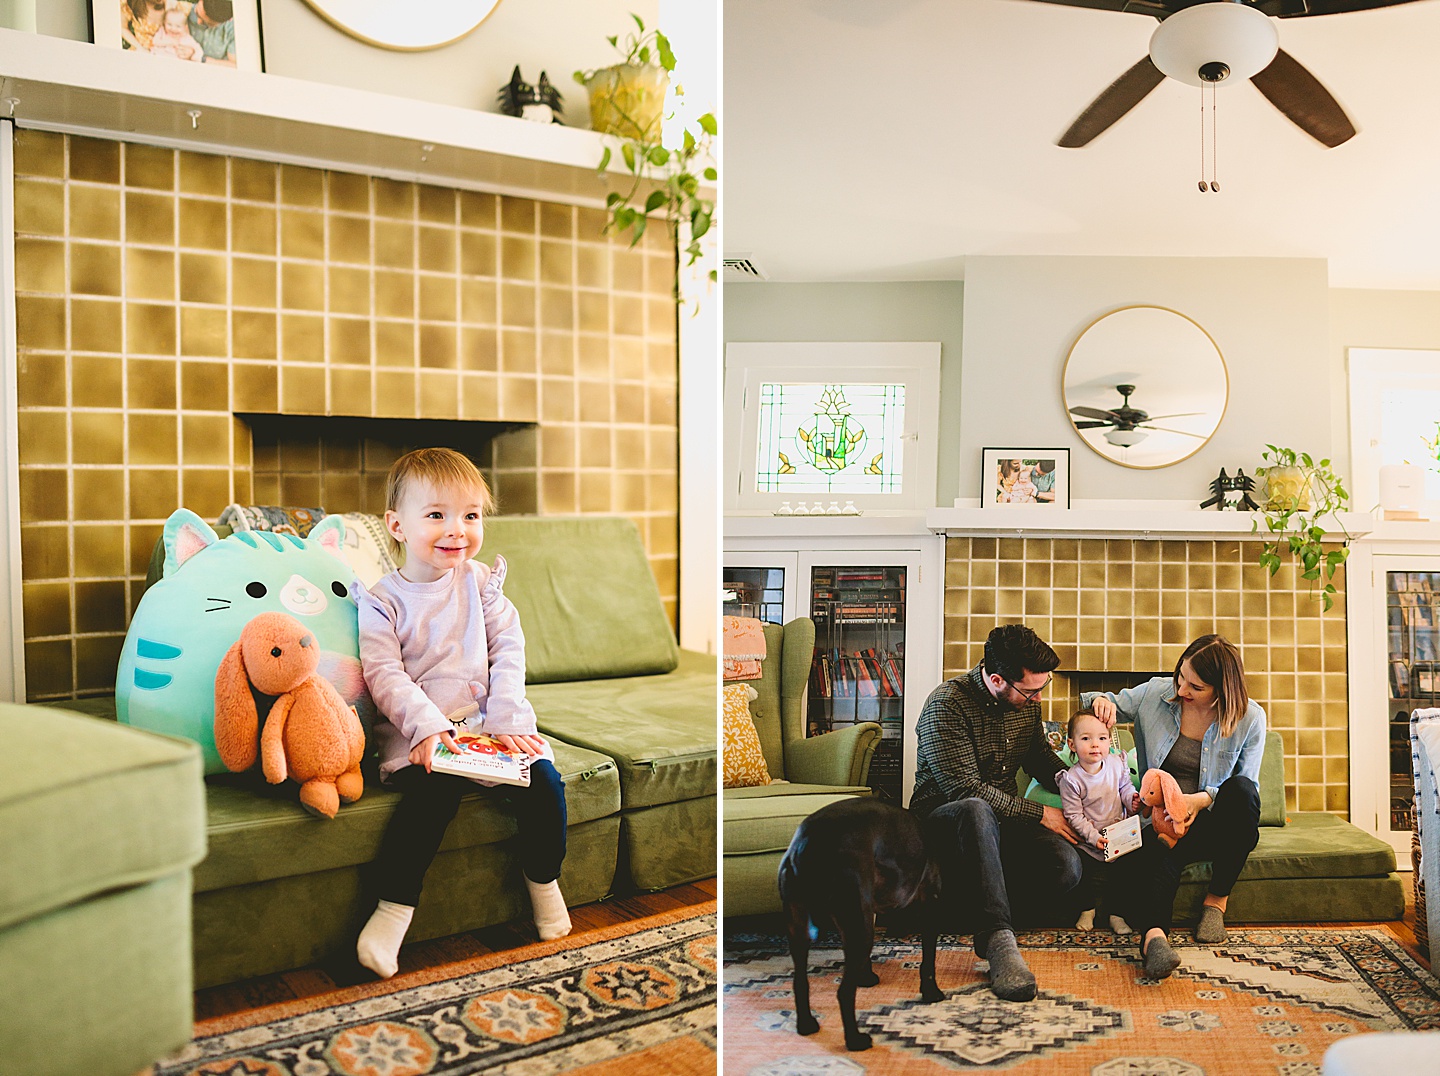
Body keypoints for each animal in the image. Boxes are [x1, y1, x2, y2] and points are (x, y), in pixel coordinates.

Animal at [777, 800, 944, 1054]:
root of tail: (805, 843)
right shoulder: (930, 905)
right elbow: (929, 960)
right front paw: (931, 992)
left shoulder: (868, 910)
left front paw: (866, 977)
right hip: (855, 920)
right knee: (844, 993)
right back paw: (855, 1040)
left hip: (800, 927)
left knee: (800, 982)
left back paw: (806, 1025)